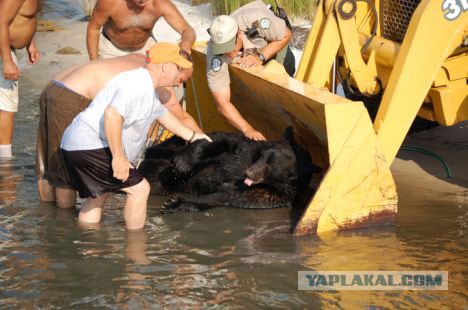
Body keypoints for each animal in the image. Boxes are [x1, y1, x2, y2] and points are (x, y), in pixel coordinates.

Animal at [139, 129, 322, 213]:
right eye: (262, 156)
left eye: (272, 165)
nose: (249, 172)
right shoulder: (245, 150)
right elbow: (221, 140)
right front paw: (184, 162)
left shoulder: (268, 194)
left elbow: (223, 197)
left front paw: (174, 204)